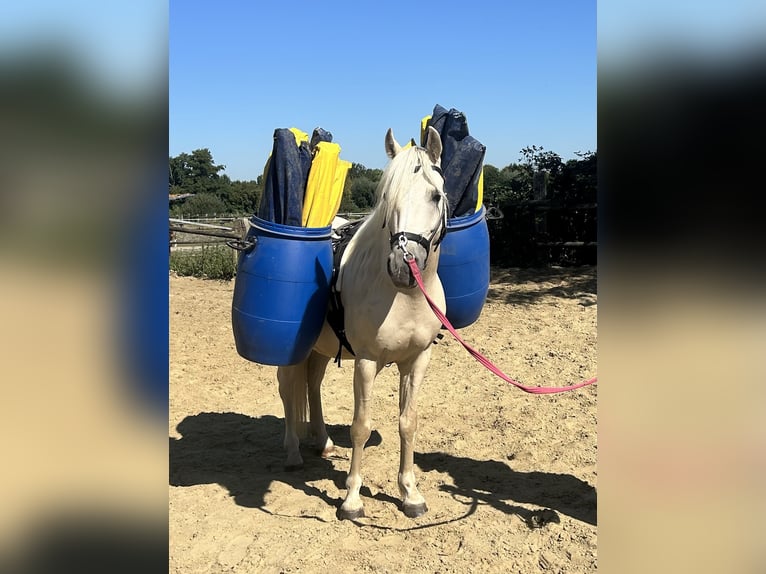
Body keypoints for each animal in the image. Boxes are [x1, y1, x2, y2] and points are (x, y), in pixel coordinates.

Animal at [277, 126, 448, 520]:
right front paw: (352, 499)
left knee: (312, 383)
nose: (402, 267)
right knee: (289, 390)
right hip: (295, 352)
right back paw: (293, 452)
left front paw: (410, 494)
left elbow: (407, 423)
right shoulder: (367, 363)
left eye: (435, 196)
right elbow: (360, 427)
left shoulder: (417, 361)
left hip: (321, 348)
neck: (403, 297)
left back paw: (323, 441)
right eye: (388, 197)